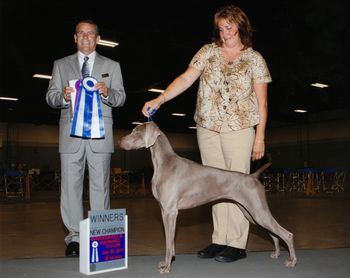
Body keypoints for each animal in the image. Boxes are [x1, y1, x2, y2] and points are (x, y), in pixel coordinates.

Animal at [119, 122, 296, 274]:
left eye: (136, 132)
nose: (120, 141)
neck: (164, 163)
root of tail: (253, 176)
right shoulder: (164, 211)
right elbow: (170, 242)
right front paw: (167, 262)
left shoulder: (171, 212)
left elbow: (169, 243)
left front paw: (167, 267)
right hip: (251, 213)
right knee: (274, 233)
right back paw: (276, 253)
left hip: (258, 211)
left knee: (286, 234)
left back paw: (292, 261)